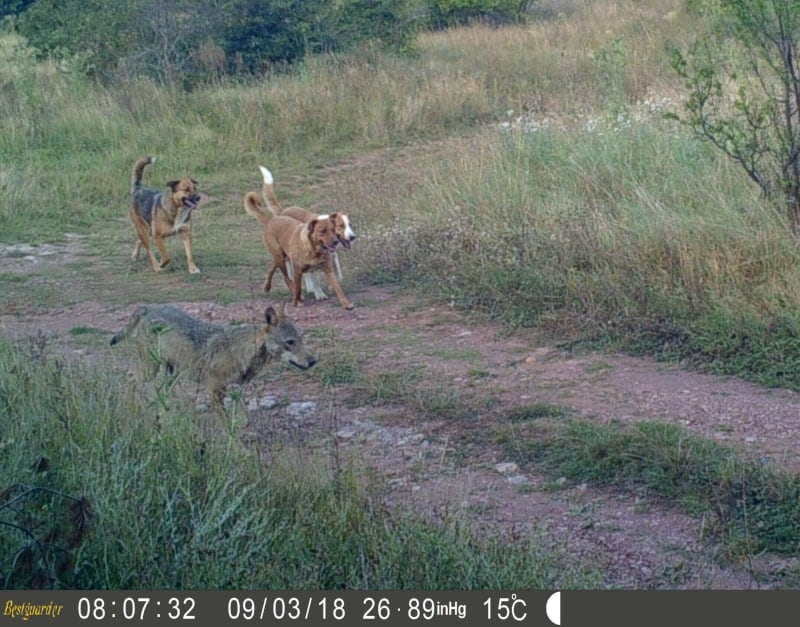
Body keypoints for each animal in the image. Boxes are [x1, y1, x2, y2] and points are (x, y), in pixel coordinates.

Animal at [244, 180, 356, 310]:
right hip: (281, 257)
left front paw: (343, 300)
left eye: (350, 225)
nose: (353, 237)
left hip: (280, 256)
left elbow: (337, 281)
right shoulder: (302, 266)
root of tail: (274, 217)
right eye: (341, 226)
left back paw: (268, 286)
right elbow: (312, 280)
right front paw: (319, 294)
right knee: (288, 277)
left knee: (272, 268)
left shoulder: (330, 260)